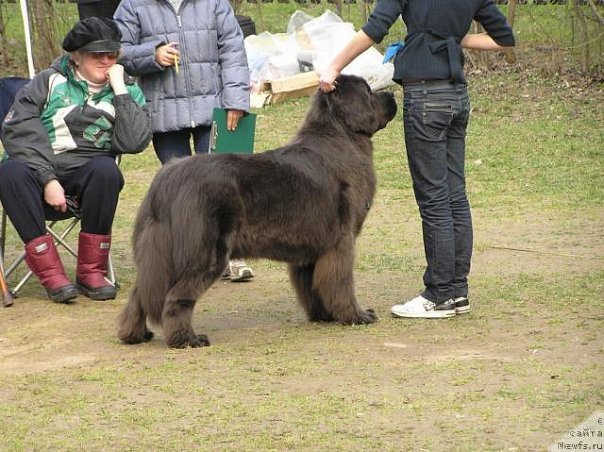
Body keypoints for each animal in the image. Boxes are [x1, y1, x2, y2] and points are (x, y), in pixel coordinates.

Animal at [120, 76, 398, 348]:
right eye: (368, 91)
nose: (392, 94)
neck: (341, 136)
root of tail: (167, 179)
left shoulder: (311, 249)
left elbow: (312, 286)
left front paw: (324, 315)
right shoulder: (341, 242)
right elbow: (340, 283)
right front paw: (356, 315)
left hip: (158, 253)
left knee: (141, 293)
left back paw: (134, 334)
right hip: (204, 253)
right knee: (176, 297)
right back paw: (186, 339)